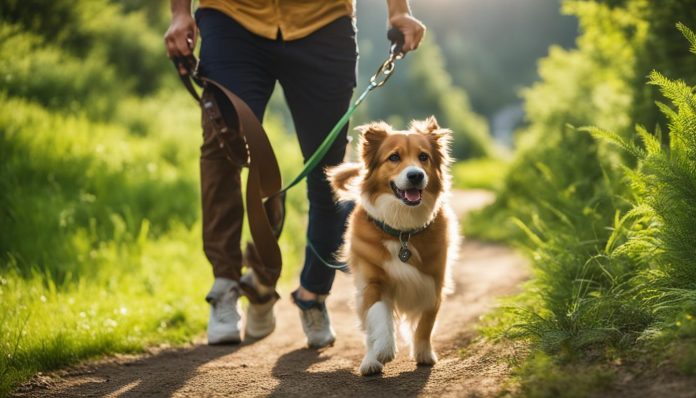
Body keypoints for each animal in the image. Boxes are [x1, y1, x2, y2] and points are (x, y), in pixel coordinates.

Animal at [328, 116, 460, 376]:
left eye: (423, 157)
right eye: (394, 157)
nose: (416, 175)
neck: (403, 232)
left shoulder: (434, 281)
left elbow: (426, 323)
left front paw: (424, 353)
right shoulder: (371, 282)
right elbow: (379, 315)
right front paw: (384, 350)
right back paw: (370, 360)